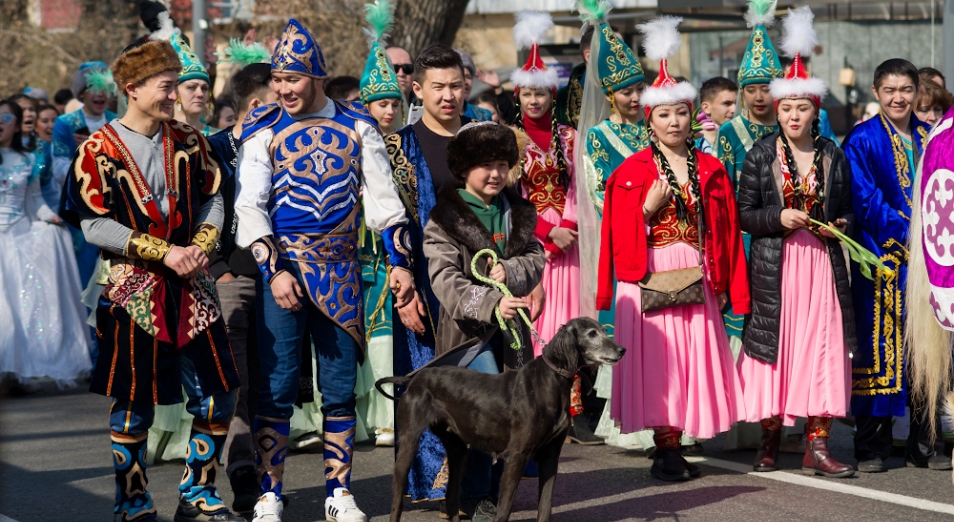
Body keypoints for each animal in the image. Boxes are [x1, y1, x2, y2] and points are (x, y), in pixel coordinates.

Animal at [376, 314, 628, 516]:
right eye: (592, 333)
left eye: (604, 330)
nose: (621, 350)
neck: (550, 381)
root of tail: (414, 379)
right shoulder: (517, 456)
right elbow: (504, 511)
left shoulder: (550, 456)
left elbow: (545, 508)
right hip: (408, 445)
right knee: (397, 502)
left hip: (457, 451)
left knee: (451, 497)